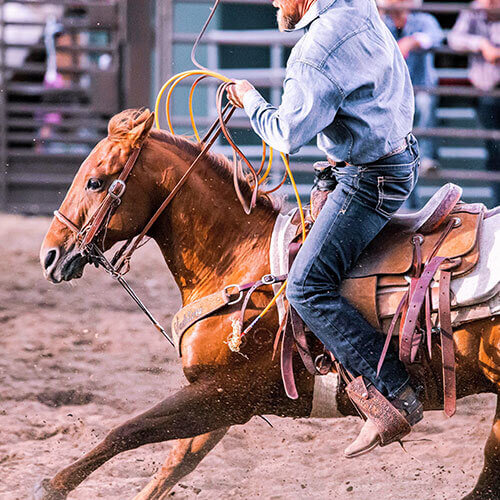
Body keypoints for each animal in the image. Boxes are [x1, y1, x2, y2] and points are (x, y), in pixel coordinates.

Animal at [38, 107, 500, 498]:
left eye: (96, 181)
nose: (50, 256)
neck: (237, 257)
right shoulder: (221, 401)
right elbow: (173, 466)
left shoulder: (225, 390)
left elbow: (128, 430)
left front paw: (53, 486)